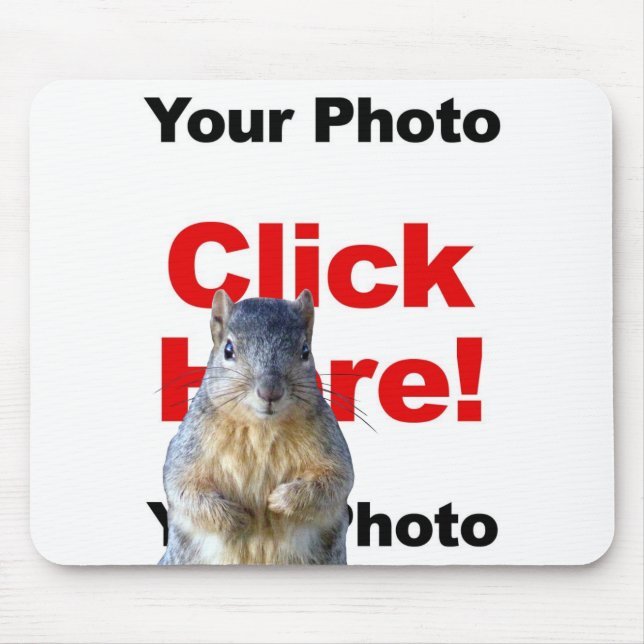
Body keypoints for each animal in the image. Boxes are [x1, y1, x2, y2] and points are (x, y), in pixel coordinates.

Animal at [159, 289, 354, 565]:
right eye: (228, 349)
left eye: (305, 351)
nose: (270, 391)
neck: (261, 428)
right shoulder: (188, 450)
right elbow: (183, 489)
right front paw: (236, 517)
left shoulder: (331, 447)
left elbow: (336, 482)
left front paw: (279, 500)